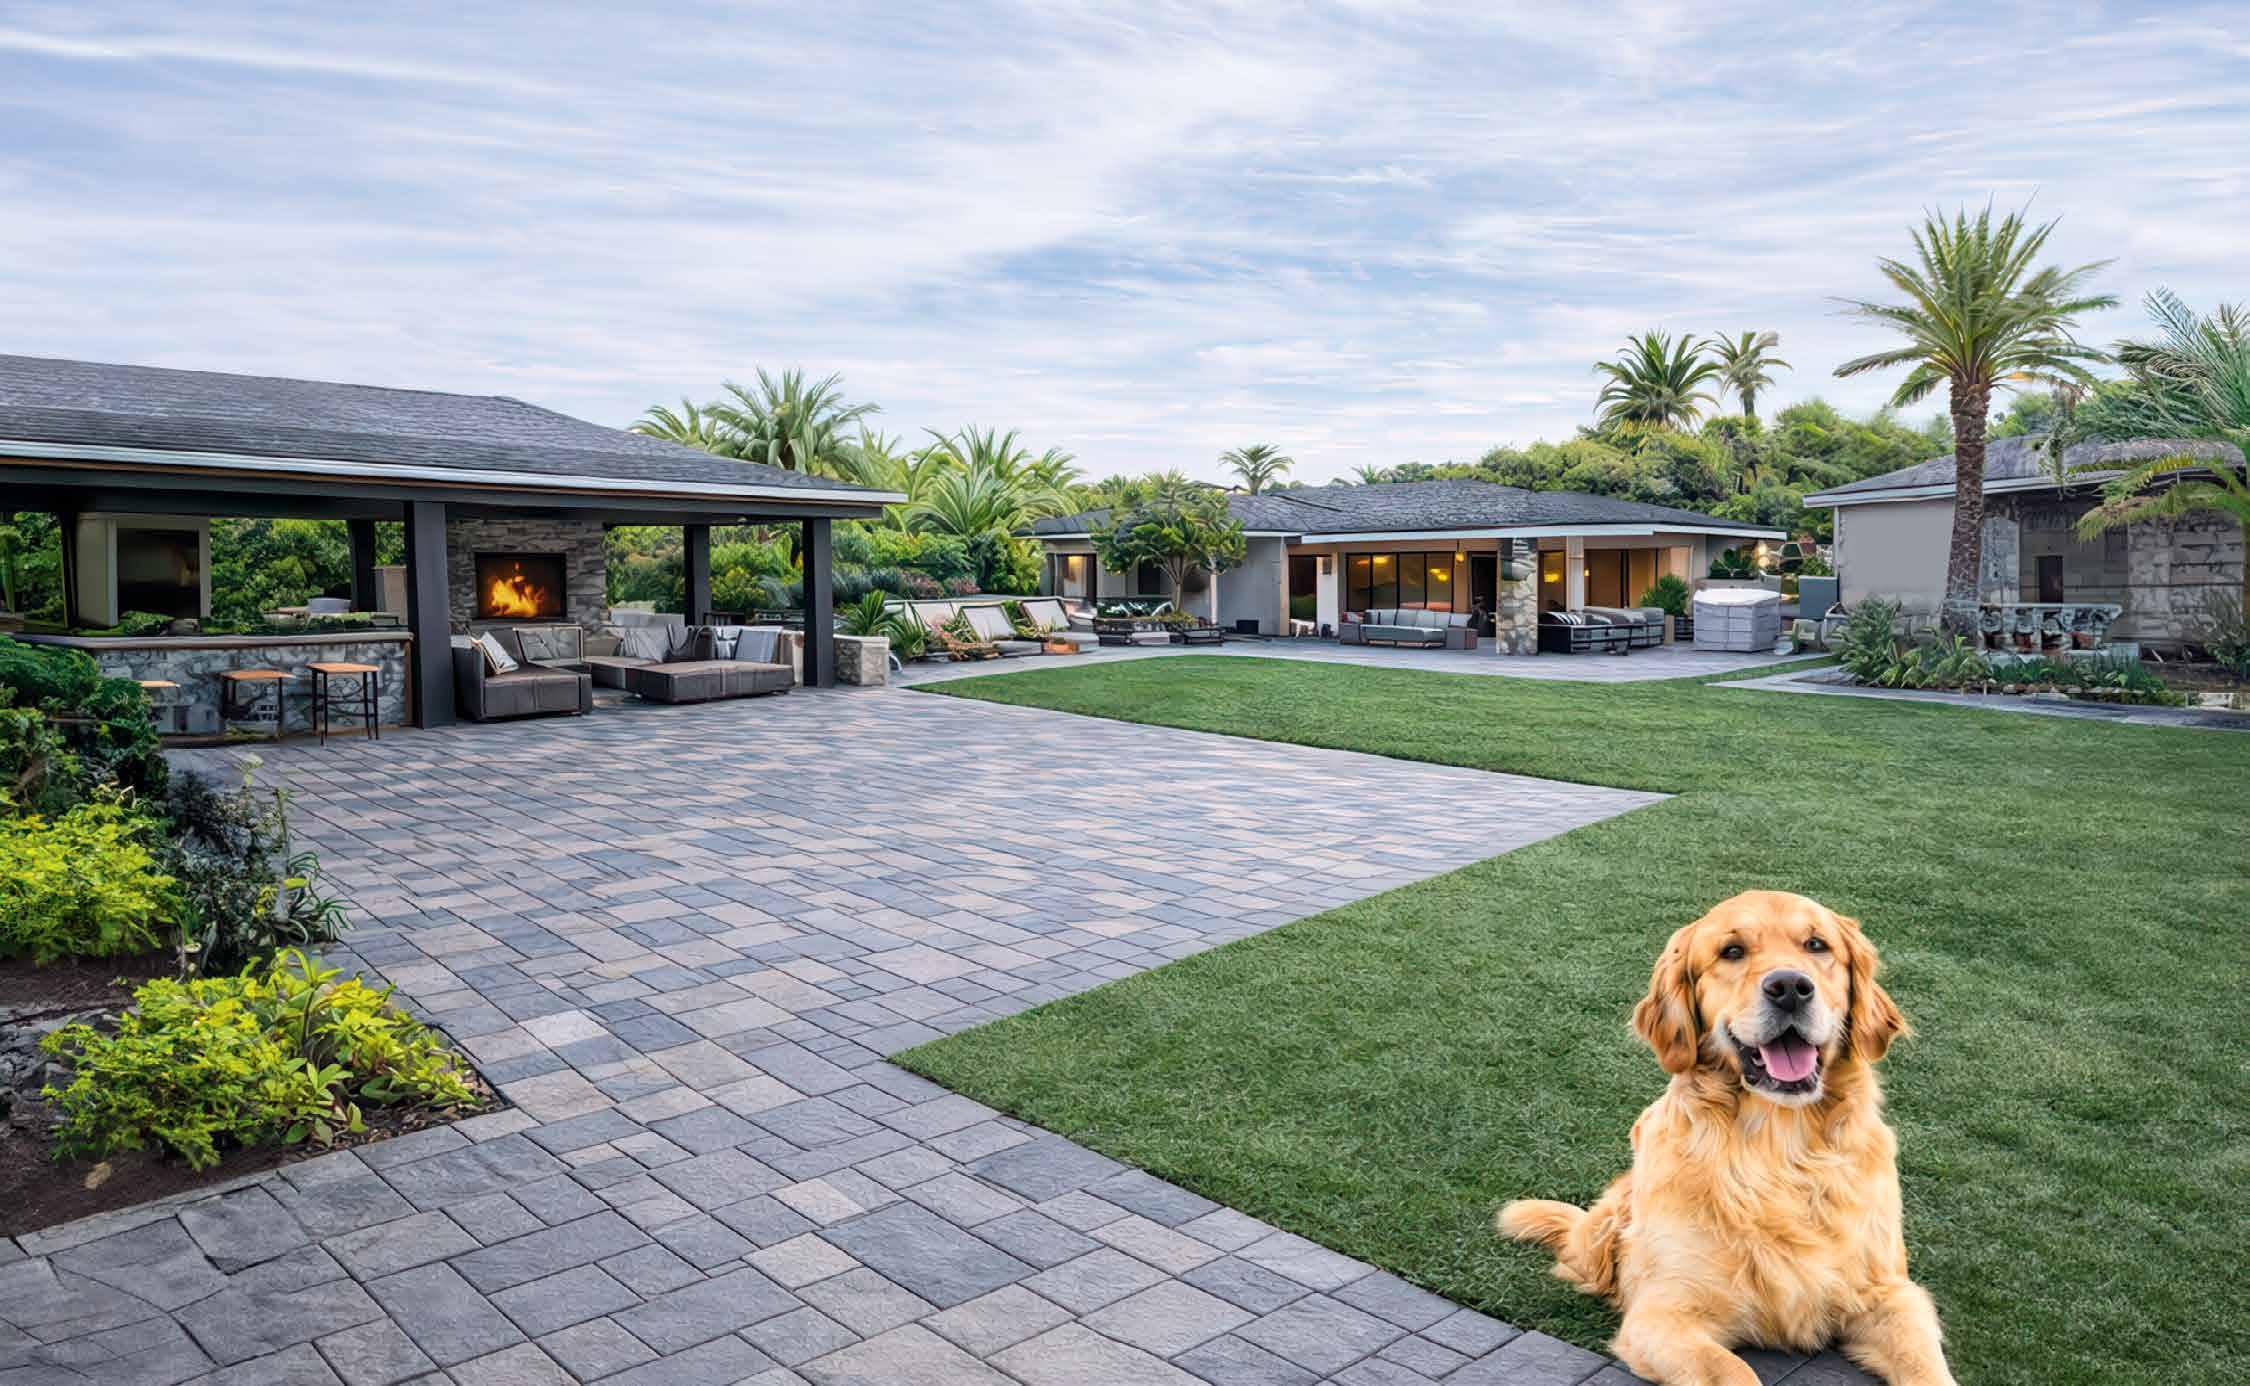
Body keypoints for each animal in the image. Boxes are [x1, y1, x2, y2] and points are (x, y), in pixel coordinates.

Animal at [1498, 890, 1955, 1386]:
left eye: (1817, 945)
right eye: (1732, 951)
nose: (1790, 987)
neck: (1780, 1149)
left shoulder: (1891, 1293)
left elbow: (1927, 1368)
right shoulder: (1663, 1313)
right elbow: (1731, 1369)